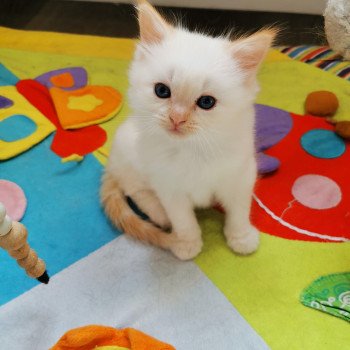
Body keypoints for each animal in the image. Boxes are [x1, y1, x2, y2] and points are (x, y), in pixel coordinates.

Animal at [101, 0, 276, 260]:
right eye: (162, 91)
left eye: (206, 102)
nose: (177, 118)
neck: (193, 149)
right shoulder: (168, 184)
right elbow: (183, 219)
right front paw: (186, 243)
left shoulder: (241, 173)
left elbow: (239, 210)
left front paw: (241, 237)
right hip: (129, 152)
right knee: (135, 190)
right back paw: (159, 214)